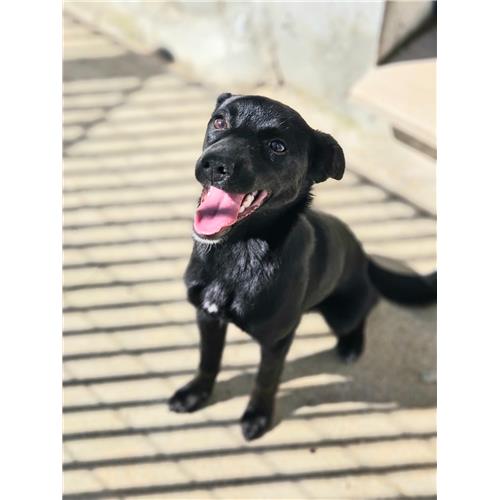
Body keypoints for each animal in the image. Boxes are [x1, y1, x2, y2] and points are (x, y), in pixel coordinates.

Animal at [168, 93, 437, 440]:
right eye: (220, 121)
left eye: (278, 146)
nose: (214, 165)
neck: (238, 253)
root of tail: (363, 254)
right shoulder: (207, 317)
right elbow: (207, 361)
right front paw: (196, 393)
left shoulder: (277, 341)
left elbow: (265, 380)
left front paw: (258, 416)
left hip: (343, 312)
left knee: (368, 306)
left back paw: (351, 345)